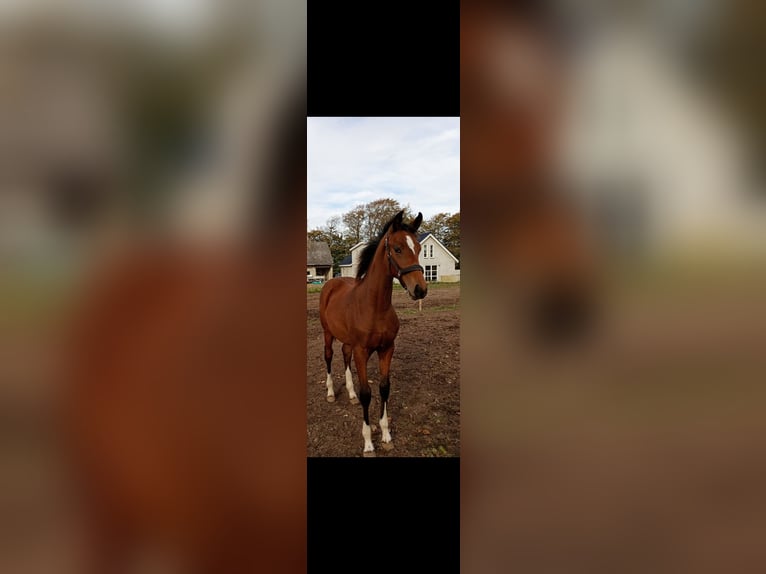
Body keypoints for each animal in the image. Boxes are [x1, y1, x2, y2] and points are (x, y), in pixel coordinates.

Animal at [320, 209, 428, 456]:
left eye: (419, 249)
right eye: (397, 248)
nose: (420, 289)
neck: (375, 306)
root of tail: (331, 283)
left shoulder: (387, 349)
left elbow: (384, 388)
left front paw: (386, 435)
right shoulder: (362, 351)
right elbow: (367, 394)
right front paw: (369, 443)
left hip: (348, 341)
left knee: (344, 355)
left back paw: (350, 394)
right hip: (327, 333)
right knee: (329, 356)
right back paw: (330, 393)